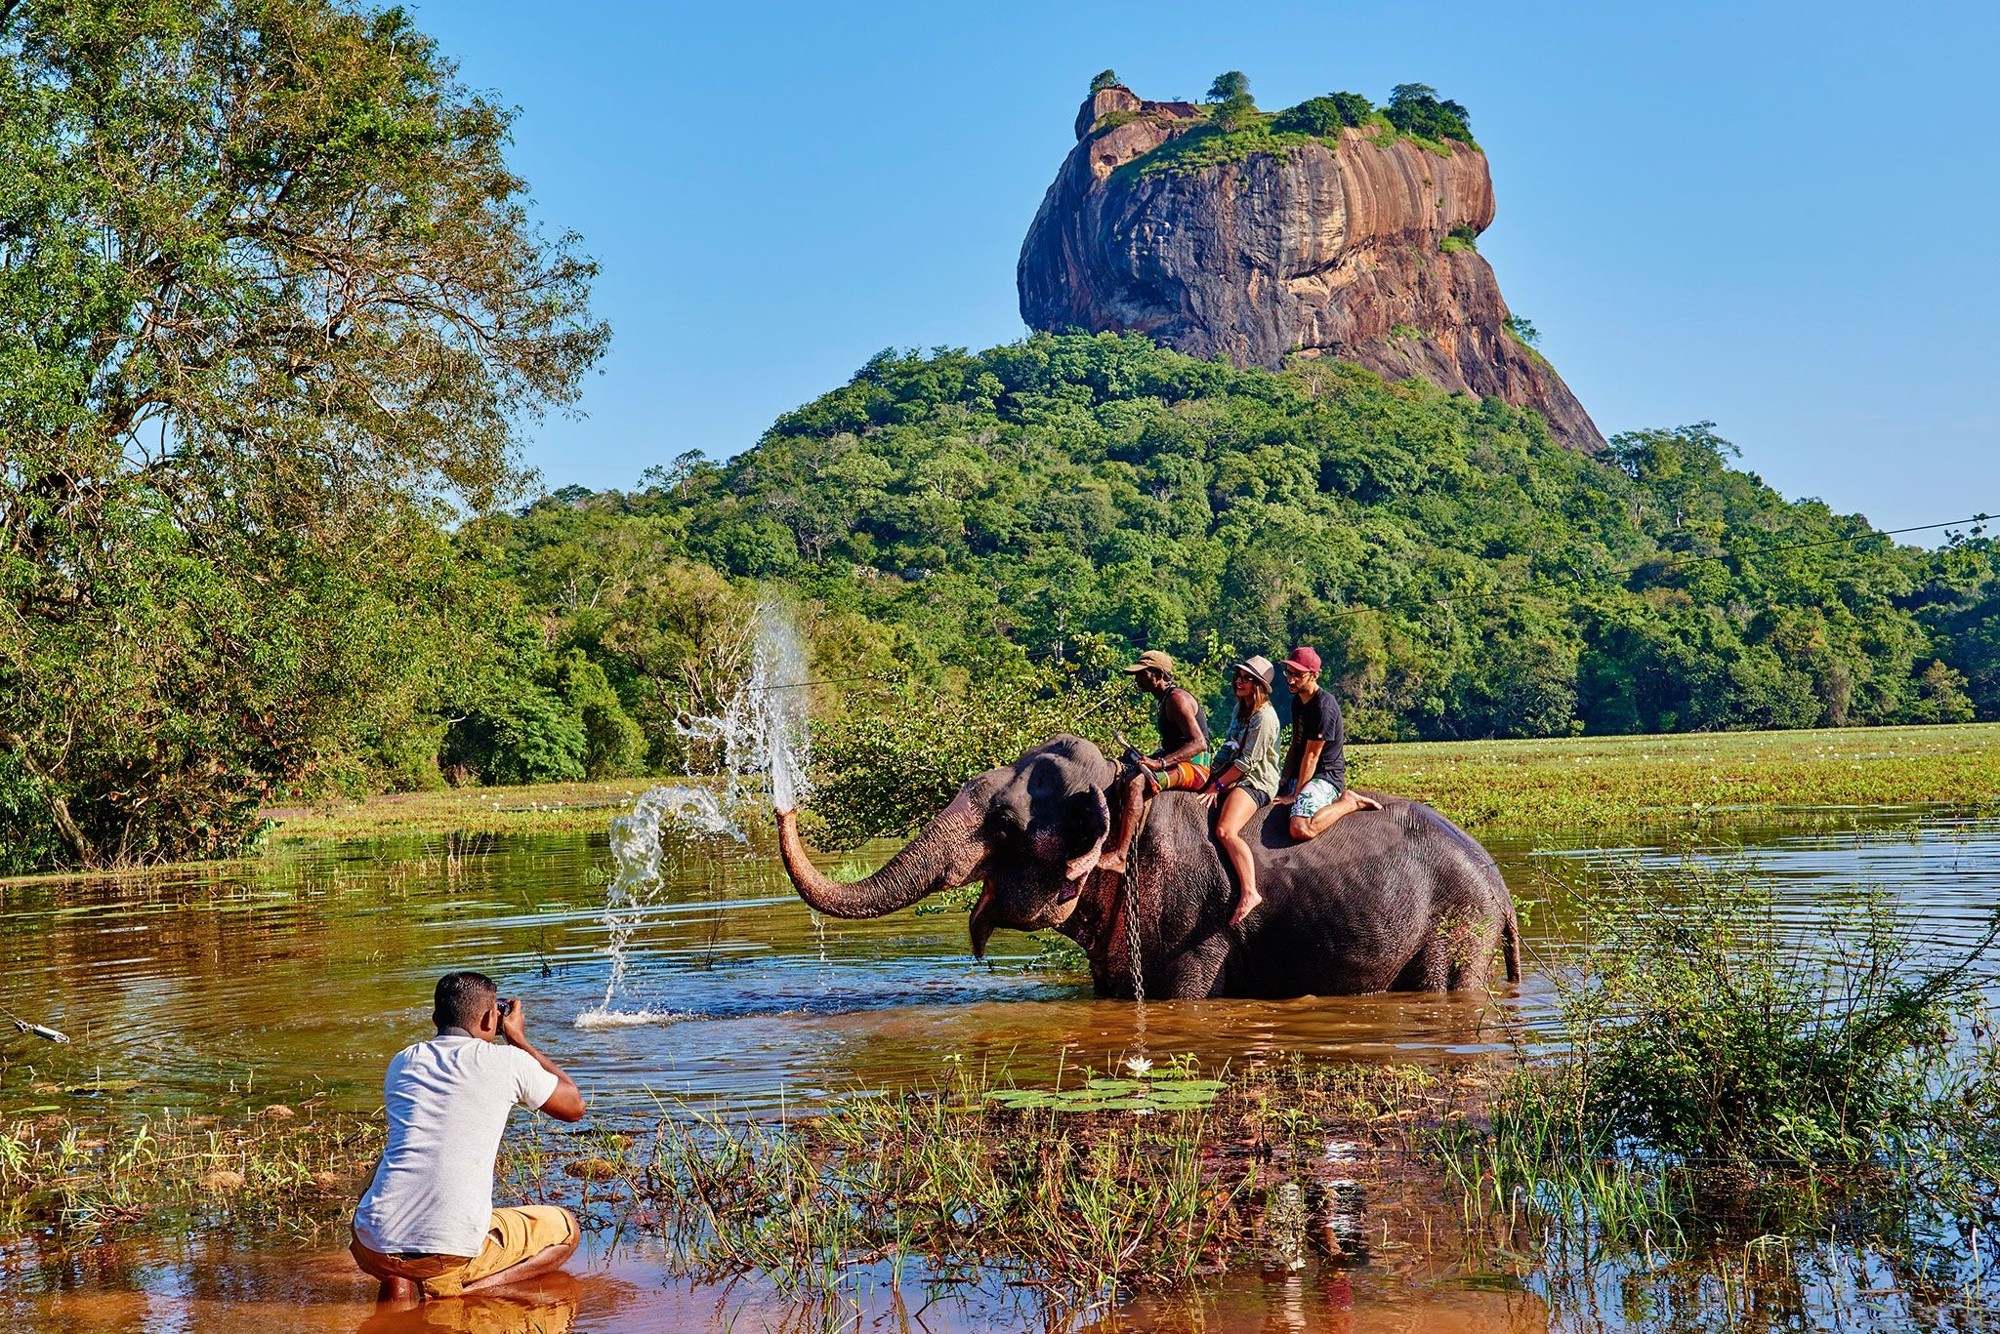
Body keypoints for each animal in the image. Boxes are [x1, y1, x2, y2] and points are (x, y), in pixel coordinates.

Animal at [776, 732, 1512, 1000]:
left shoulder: (1199, 921)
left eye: (1004, 825)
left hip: (1457, 927)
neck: (1119, 791)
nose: (784, 801)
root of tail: (1502, 893)